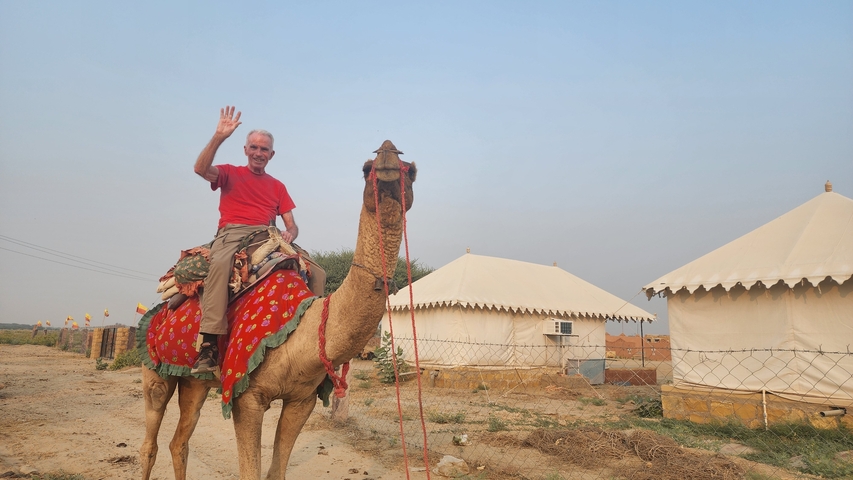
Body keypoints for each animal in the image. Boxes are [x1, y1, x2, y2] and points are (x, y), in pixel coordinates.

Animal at [140, 140, 416, 480]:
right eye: (366, 168)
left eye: (412, 171)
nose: (388, 156)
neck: (303, 333)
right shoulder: (246, 396)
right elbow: (251, 471)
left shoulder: (302, 400)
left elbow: (276, 471)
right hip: (155, 368)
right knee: (150, 439)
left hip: (194, 381)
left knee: (179, 441)